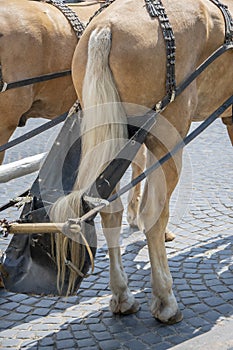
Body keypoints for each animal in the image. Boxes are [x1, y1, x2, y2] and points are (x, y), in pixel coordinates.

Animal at [50, 0, 232, 324]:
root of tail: (104, 27)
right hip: (168, 138)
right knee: (154, 215)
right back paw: (165, 299)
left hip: (119, 136)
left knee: (109, 211)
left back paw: (122, 294)